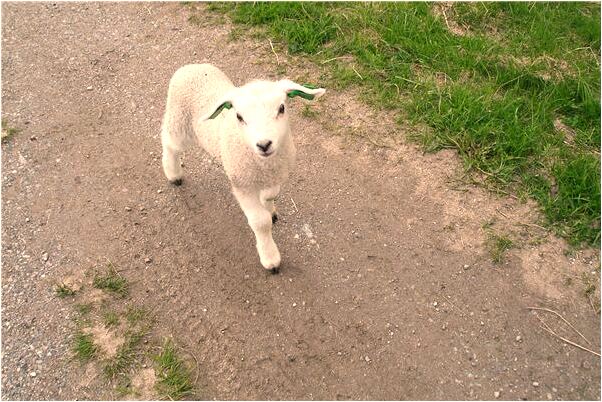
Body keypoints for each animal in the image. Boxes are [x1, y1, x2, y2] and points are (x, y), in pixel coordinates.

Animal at [159, 63, 326, 274]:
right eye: (239, 116)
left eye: (281, 108)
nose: (264, 144)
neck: (264, 165)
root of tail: (191, 66)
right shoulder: (242, 185)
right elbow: (260, 222)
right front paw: (270, 258)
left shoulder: (276, 175)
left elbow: (271, 195)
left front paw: (269, 206)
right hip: (179, 121)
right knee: (170, 143)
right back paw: (173, 174)